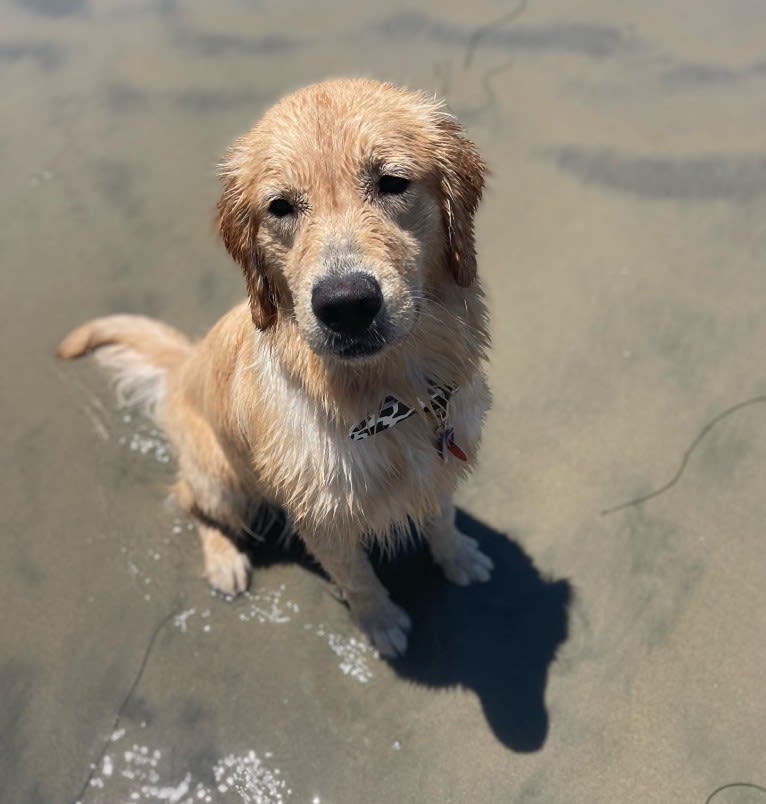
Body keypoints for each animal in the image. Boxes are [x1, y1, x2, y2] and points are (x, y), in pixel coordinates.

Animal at [58, 78, 492, 656]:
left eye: (393, 182)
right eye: (280, 206)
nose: (346, 304)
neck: (388, 395)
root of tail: (183, 364)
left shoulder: (442, 459)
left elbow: (442, 518)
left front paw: (459, 556)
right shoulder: (321, 517)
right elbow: (357, 577)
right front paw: (379, 622)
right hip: (223, 481)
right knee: (189, 500)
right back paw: (225, 561)